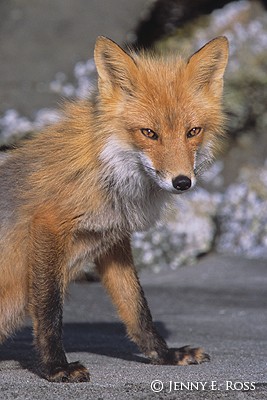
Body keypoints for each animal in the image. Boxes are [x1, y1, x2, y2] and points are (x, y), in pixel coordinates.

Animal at [0, 36, 228, 382]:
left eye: (193, 131)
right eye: (149, 133)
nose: (181, 182)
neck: (108, 171)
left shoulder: (112, 239)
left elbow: (137, 308)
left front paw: (165, 355)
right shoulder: (48, 224)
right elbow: (49, 307)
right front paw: (56, 367)